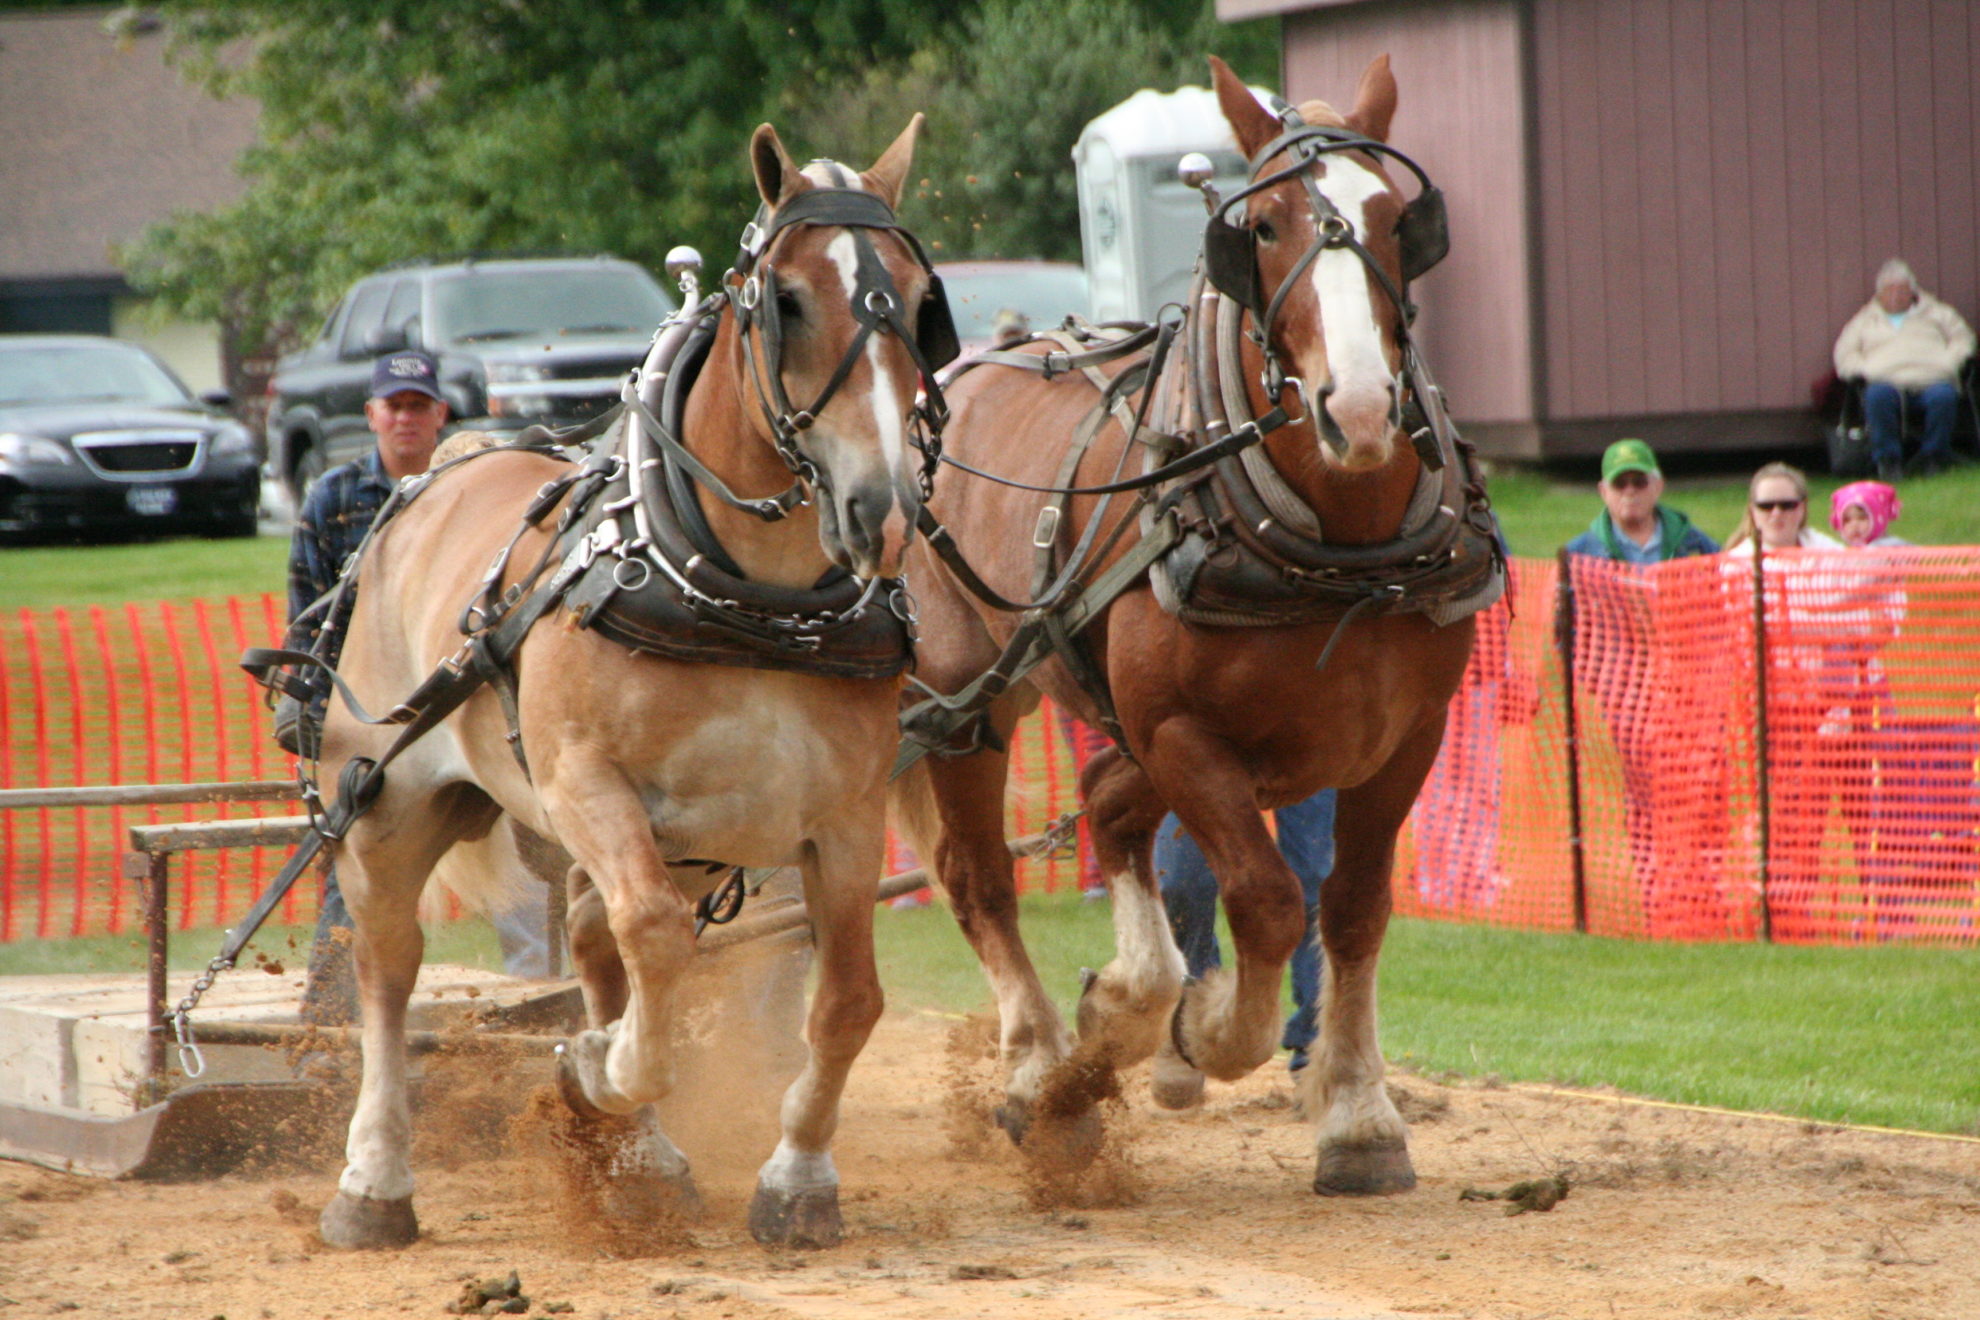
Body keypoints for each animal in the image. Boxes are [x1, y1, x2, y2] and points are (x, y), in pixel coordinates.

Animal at [309, 115, 947, 1249]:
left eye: (920, 303)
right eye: (787, 299)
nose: (881, 509)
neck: (753, 605)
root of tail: (436, 473)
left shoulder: (845, 815)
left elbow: (847, 1002)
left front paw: (797, 1179)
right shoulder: (585, 784)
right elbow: (652, 945)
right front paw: (601, 1069)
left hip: (684, 838)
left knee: (597, 938)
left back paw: (643, 1159)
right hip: (389, 808)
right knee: (389, 972)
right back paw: (375, 1182)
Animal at [889, 55, 1497, 1195]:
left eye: (1397, 219)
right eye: (1258, 227)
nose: (1358, 408)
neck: (1335, 548)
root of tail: (945, 384)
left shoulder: (1406, 740)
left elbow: (1353, 908)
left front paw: (1358, 1116)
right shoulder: (1181, 734)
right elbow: (1265, 900)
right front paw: (1207, 1033)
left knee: (1103, 803)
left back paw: (1118, 1009)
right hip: (963, 703)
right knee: (978, 879)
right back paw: (1044, 1070)